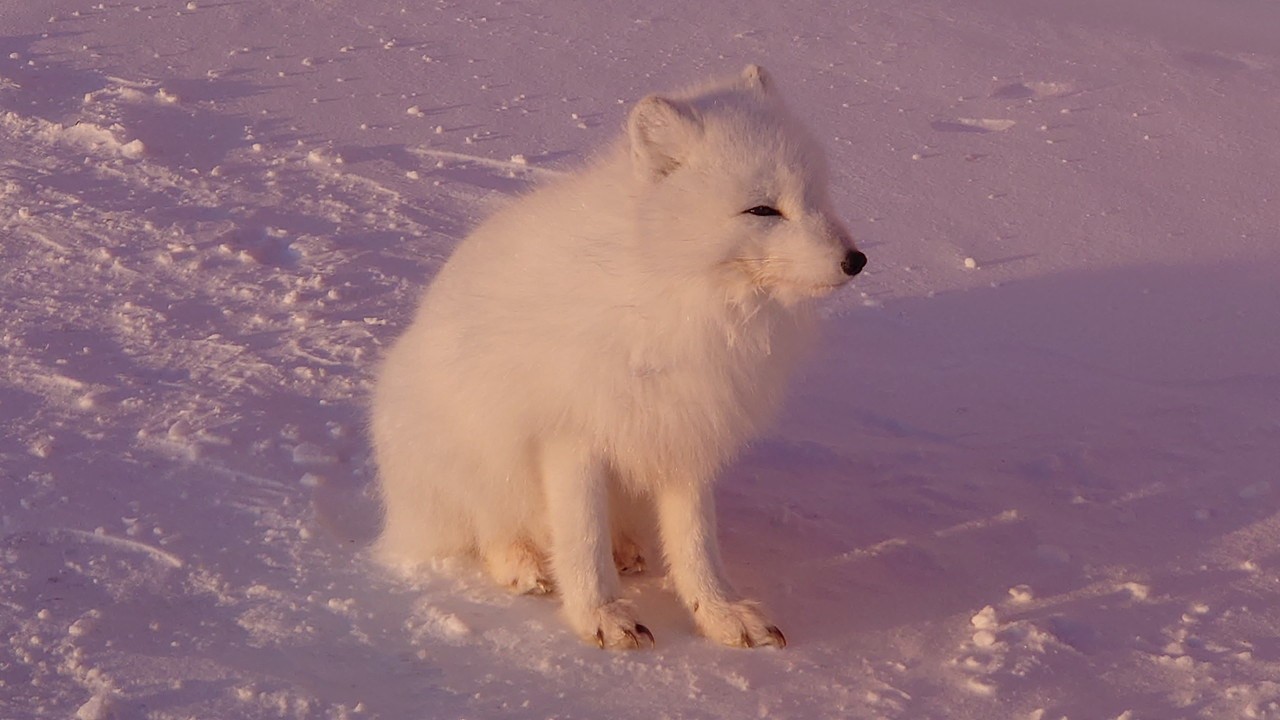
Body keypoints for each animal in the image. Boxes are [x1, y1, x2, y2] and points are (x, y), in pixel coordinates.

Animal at [373, 64, 870, 648]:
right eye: (763, 209)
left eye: (816, 196)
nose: (856, 260)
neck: (678, 295)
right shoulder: (570, 435)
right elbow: (581, 537)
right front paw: (600, 615)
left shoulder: (686, 429)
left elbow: (696, 542)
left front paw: (719, 613)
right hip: (470, 457)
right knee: (489, 528)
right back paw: (524, 564)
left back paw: (625, 549)